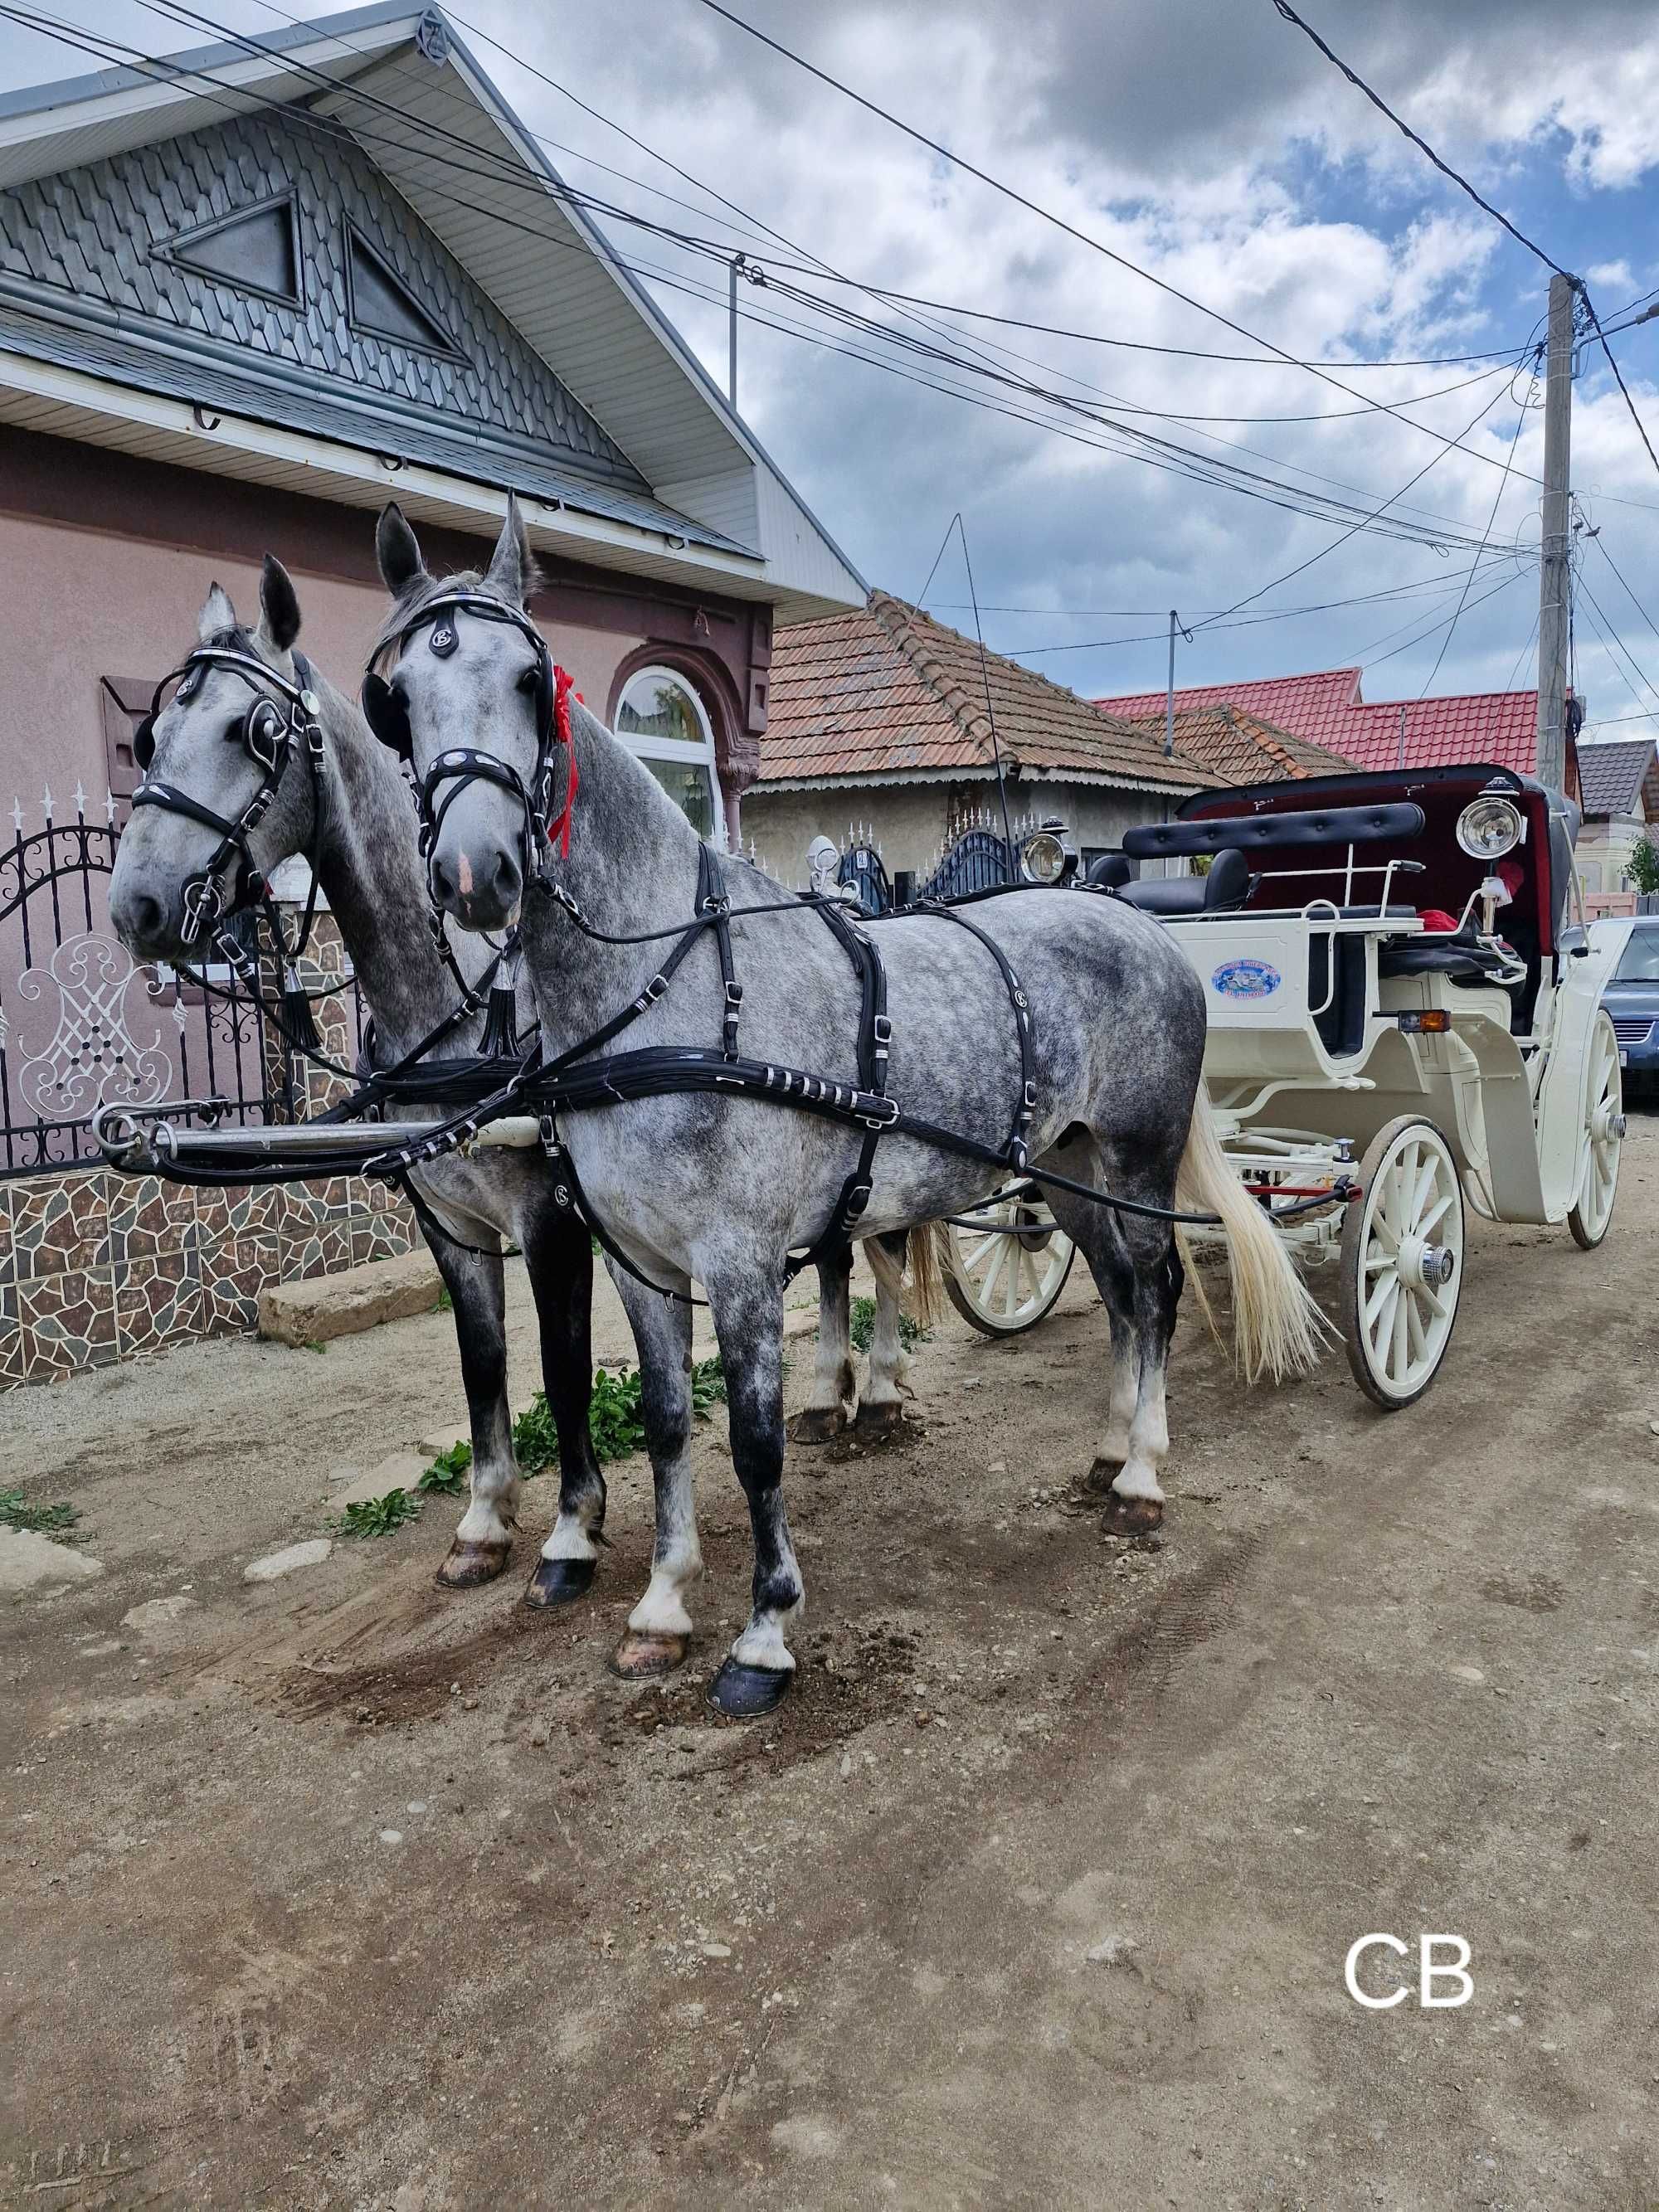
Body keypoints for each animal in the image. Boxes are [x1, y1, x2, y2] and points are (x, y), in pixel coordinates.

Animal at [367, 493, 1327, 1716]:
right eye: (396, 698)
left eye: (532, 678)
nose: (473, 873)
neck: (673, 990)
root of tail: (1139, 923)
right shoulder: (638, 1261)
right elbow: (670, 1425)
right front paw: (662, 1603)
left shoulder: (737, 1259)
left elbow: (756, 1442)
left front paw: (763, 1632)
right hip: (1066, 1171)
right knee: (1118, 1294)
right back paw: (1113, 1450)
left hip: (1138, 1158)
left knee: (1154, 1293)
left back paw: (1146, 1474)